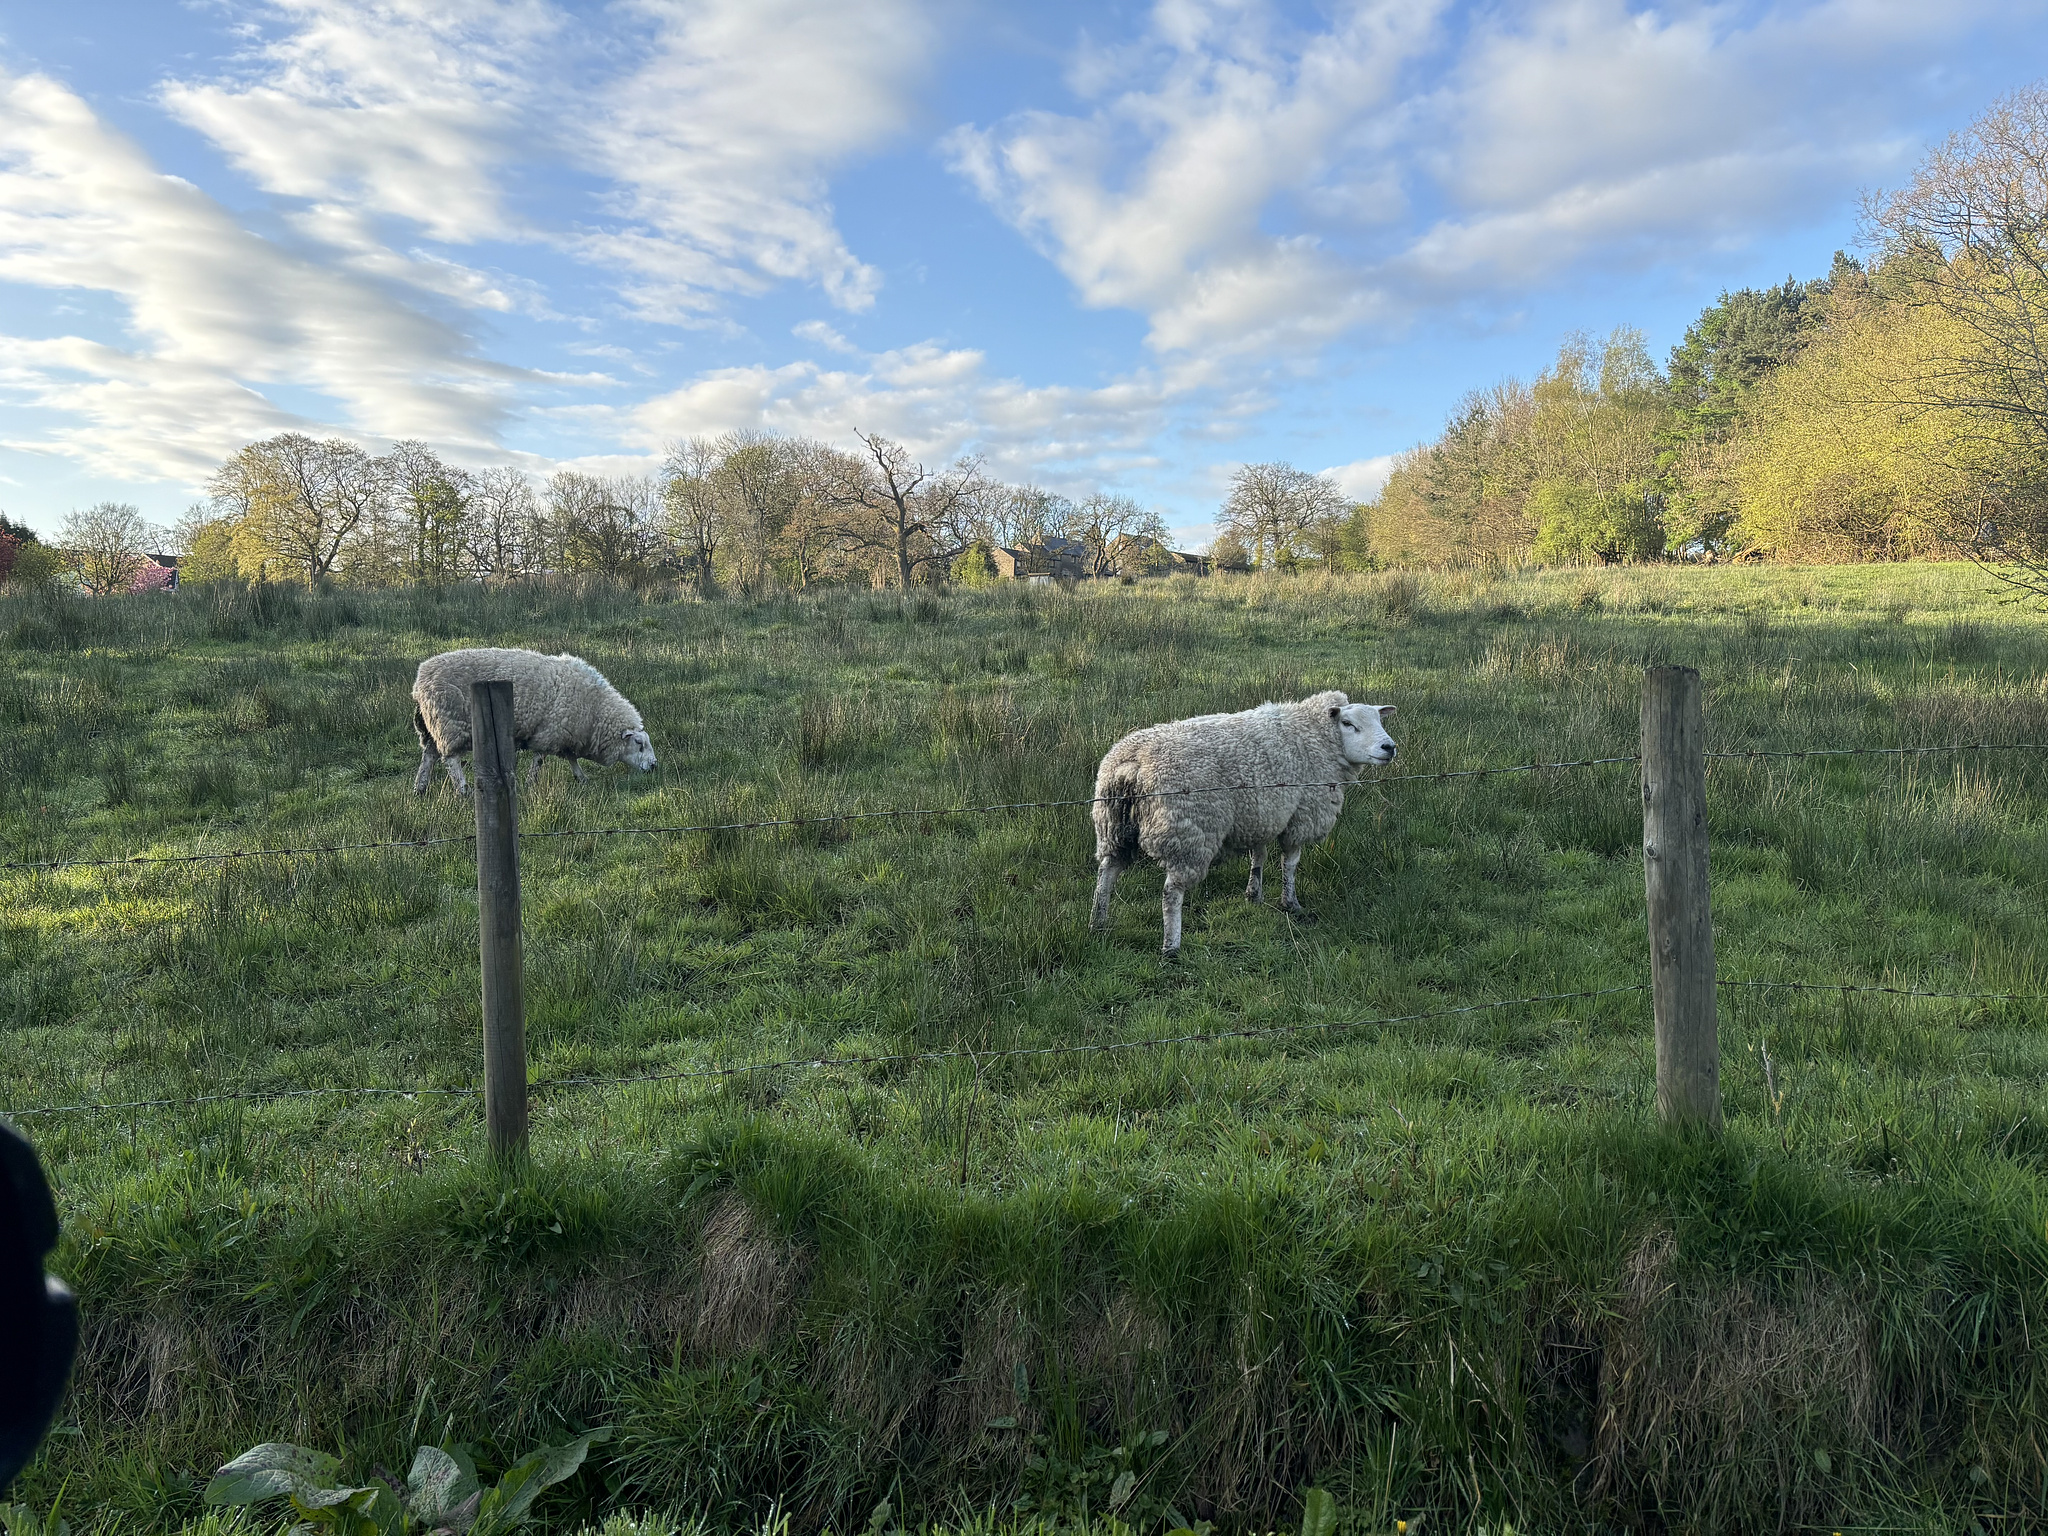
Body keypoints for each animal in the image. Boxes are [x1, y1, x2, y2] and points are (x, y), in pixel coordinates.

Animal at [403, 647, 651, 798]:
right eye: (639, 744)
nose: (654, 766)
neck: (595, 710)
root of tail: (419, 681)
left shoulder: (565, 734)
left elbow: (571, 758)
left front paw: (581, 778)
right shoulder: (550, 732)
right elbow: (539, 759)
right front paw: (532, 782)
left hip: (432, 727)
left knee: (429, 756)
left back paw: (420, 788)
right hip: (449, 723)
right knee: (451, 760)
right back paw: (464, 791)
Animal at [1089, 696, 1392, 962]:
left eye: (1379, 719)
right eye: (1349, 724)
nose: (1389, 747)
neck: (1314, 736)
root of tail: (1133, 763)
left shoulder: (1260, 814)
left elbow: (1258, 856)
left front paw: (1253, 894)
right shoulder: (1302, 815)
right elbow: (1290, 862)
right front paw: (1291, 903)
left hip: (1113, 827)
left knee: (1107, 873)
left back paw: (1098, 922)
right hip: (1189, 834)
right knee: (1170, 892)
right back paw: (1171, 947)